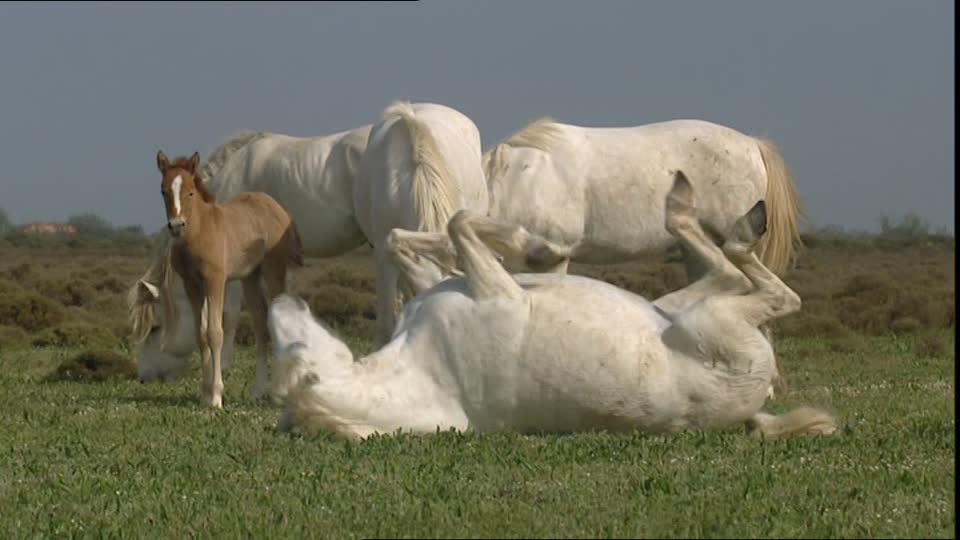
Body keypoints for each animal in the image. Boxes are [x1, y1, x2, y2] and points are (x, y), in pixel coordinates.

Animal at [266, 171, 836, 440]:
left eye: (288, 339)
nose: (279, 301)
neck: (418, 369)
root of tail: (750, 405)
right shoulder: (495, 287)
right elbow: (462, 223)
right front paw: (529, 242)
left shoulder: (444, 281)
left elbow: (401, 240)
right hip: (713, 319)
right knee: (768, 288)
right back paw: (729, 221)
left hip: (674, 305)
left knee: (725, 269)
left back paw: (687, 204)